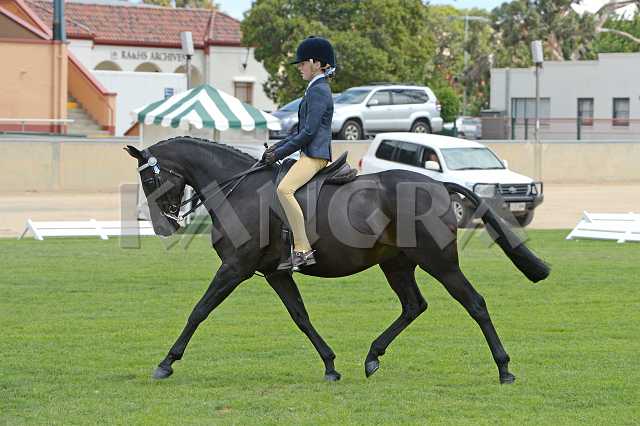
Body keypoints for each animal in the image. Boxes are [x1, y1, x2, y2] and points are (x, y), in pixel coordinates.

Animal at [124, 136, 550, 384]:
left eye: (150, 180)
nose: (164, 227)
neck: (239, 190)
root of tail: (439, 183)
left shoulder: (235, 268)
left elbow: (199, 310)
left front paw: (166, 362)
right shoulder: (273, 273)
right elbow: (300, 316)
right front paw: (330, 365)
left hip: (440, 262)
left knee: (474, 303)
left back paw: (504, 368)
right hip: (396, 263)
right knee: (413, 305)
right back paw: (372, 357)